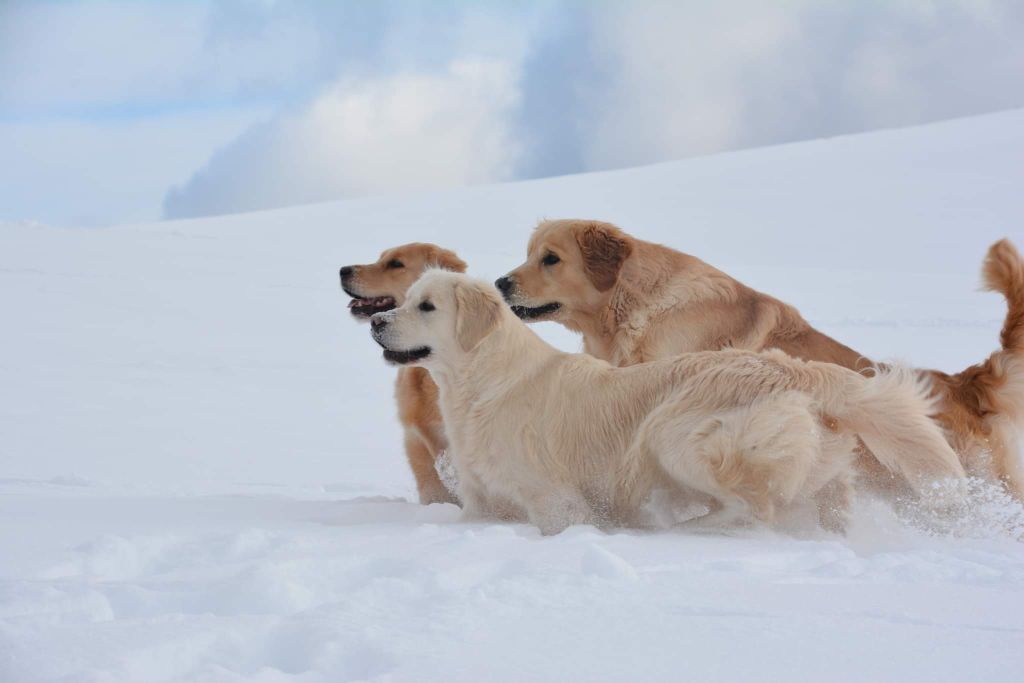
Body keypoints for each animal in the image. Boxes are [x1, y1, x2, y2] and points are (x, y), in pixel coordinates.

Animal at [370, 270, 966, 532]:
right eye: (404, 300)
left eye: (426, 306)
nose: (376, 322)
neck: (484, 381)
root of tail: (798, 371)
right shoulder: (479, 501)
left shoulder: (555, 501)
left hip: (672, 433)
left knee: (752, 509)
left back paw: (680, 531)